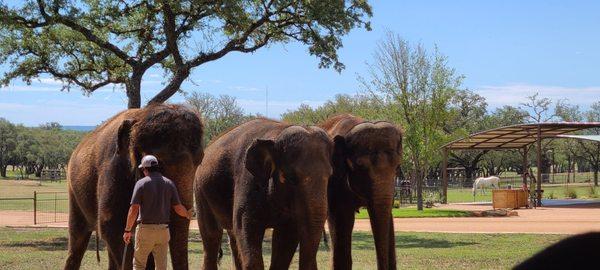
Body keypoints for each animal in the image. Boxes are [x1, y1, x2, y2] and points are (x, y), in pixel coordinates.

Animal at [63, 104, 204, 270]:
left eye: (200, 160)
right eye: (159, 162)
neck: (141, 116)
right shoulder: (113, 168)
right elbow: (112, 226)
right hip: (74, 193)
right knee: (77, 239)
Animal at [195, 118, 340, 270]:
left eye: (330, 176)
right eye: (291, 178)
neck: (277, 135)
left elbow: (286, 237)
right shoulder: (247, 181)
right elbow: (246, 228)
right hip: (200, 190)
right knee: (211, 235)